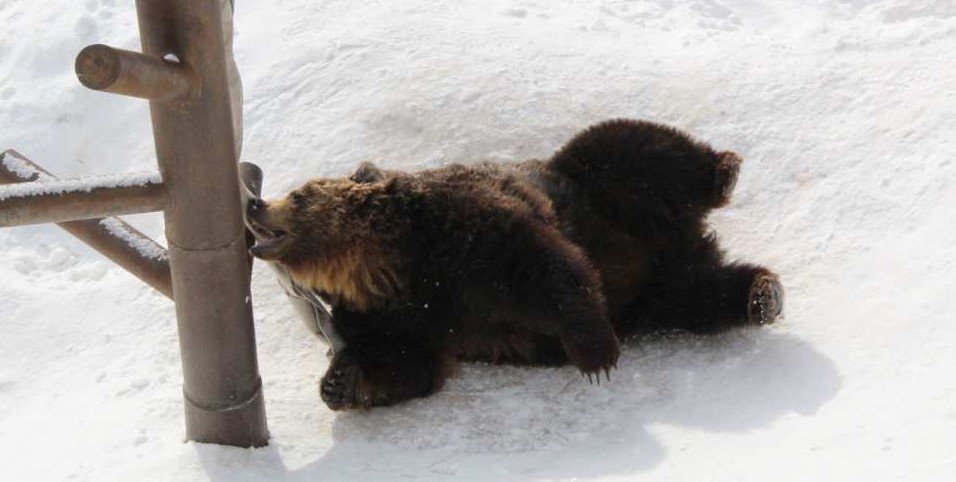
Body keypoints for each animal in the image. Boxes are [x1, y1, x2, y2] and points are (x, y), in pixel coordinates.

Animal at [246, 119, 784, 410]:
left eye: (298, 194)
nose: (255, 205)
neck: (387, 265)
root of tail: (681, 241)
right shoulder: (397, 316)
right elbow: (408, 363)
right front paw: (339, 381)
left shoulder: (465, 231)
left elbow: (544, 267)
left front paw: (596, 354)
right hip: (654, 294)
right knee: (698, 294)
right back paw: (760, 294)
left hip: (598, 189)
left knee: (630, 147)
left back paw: (724, 172)